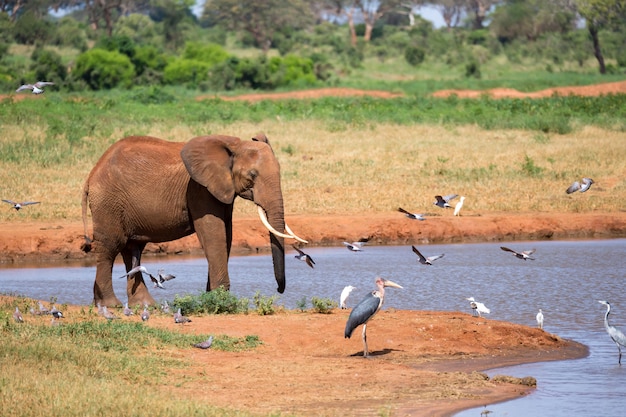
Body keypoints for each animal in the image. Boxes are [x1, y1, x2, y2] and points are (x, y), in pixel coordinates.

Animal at [79, 132, 304, 308]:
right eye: (252, 175)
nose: (279, 289)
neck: (234, 143)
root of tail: (92, 174)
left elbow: (226, 234)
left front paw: (211, 296)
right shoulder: (199, 189)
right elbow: (213, 233)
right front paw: (220, 299)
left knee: (132, 249)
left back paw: (144, 305)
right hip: (108, 203)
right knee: (111, 247)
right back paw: (111, 305)